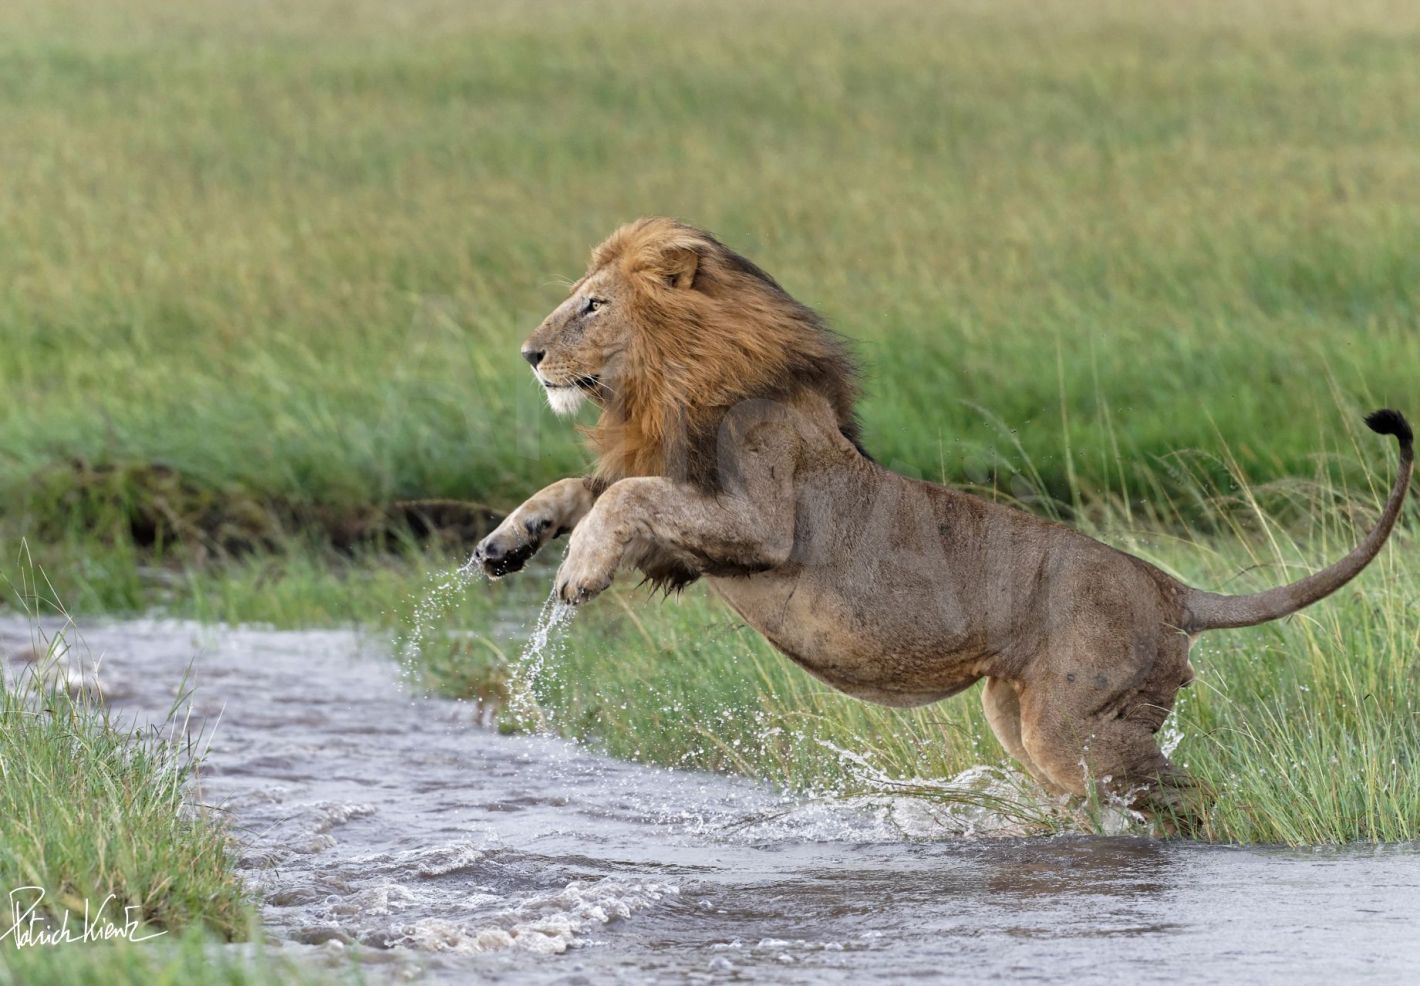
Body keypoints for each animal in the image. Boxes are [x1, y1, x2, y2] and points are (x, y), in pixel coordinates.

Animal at [474, 218, 1408, 824]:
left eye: (592, 306)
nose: (526, 354)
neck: (677, 375)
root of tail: (1173, 587)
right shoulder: (683, 499)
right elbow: (583, 484)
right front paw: (508, 542)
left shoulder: (764, 521)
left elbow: (625, 496)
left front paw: (577, 572)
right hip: (1018, 716)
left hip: (1073, 727)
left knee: (1192, 795)